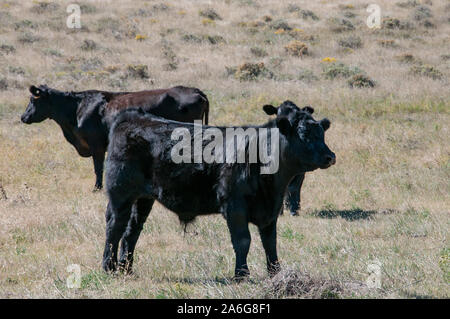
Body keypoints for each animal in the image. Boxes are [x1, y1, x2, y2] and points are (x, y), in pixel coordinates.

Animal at [20, 84, 210, 190]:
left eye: (33, 100)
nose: (23, 117)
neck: (77, 109)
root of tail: (195, 91)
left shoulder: (96, 146)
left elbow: (98, 168)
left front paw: (97, 188)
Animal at [102, 103, 334, 280]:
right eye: (304, 134)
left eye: (322, 133)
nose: (330, 156)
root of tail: (132, 116)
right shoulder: (234, 207)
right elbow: (243, 241)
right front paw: (241, 275)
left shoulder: (270, 210)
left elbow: (270, 242)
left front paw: (275, 273)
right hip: (120, 194)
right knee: (115, 227)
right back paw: (108, 267)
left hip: (142, 199)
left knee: (132, 231)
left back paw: (126, 269)